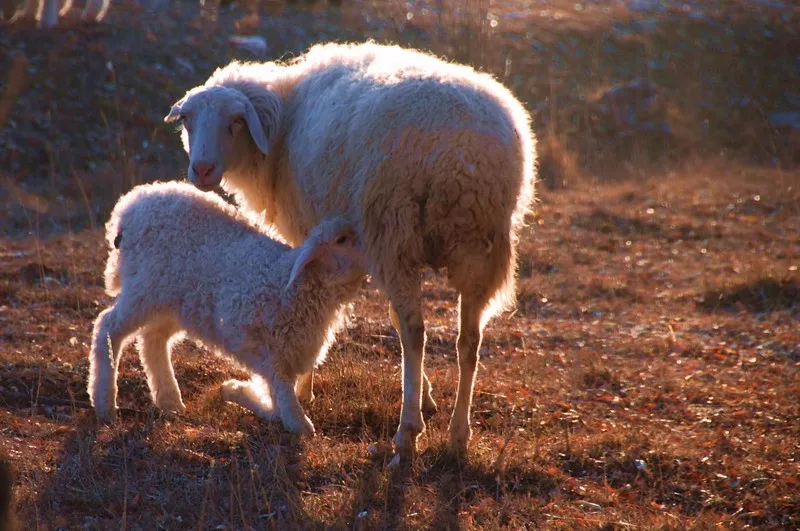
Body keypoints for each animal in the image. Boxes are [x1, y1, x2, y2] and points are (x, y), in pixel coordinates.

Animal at [87, 181, 366, 434]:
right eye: (342, 239)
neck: (295, 284)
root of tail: (131, 205)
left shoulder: (290, 349)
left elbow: (275, 392)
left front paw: (236, 391)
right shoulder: (243, 334)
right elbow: (280, 386)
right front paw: (295, 419)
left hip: (175, 302)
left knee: (152, 340)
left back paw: (169, 400)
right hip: (144, 287)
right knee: (108, 327)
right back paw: (104, 404)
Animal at [165, 41, 536, 462]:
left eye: (235, 122)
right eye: (187, 121)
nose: (202, 170)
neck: (284, 117)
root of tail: (460, 156)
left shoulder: (310, 228)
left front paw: (303, 387)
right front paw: (426, 395)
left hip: (393, 230)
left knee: (414, 333)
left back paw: (407, 432)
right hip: (478, 249)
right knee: (468, 341)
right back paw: (458, 434)